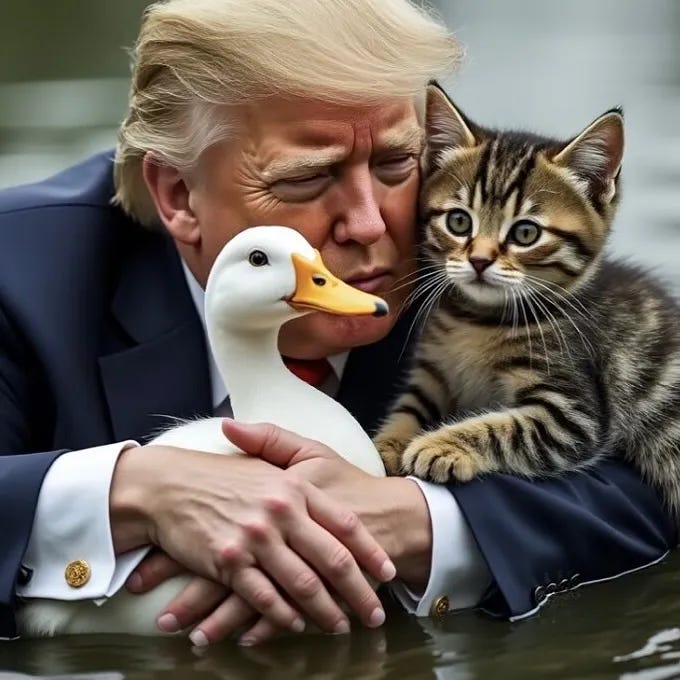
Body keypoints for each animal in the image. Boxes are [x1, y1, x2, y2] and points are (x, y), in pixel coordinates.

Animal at [374, 85, 680, 520]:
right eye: (459, 222)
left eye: (525, 233)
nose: (479, 260)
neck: (478, 320)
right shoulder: (433, 373)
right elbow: (408, 407)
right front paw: (387, 443)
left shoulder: (574, 414)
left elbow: (505, 428)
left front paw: (442, 444)